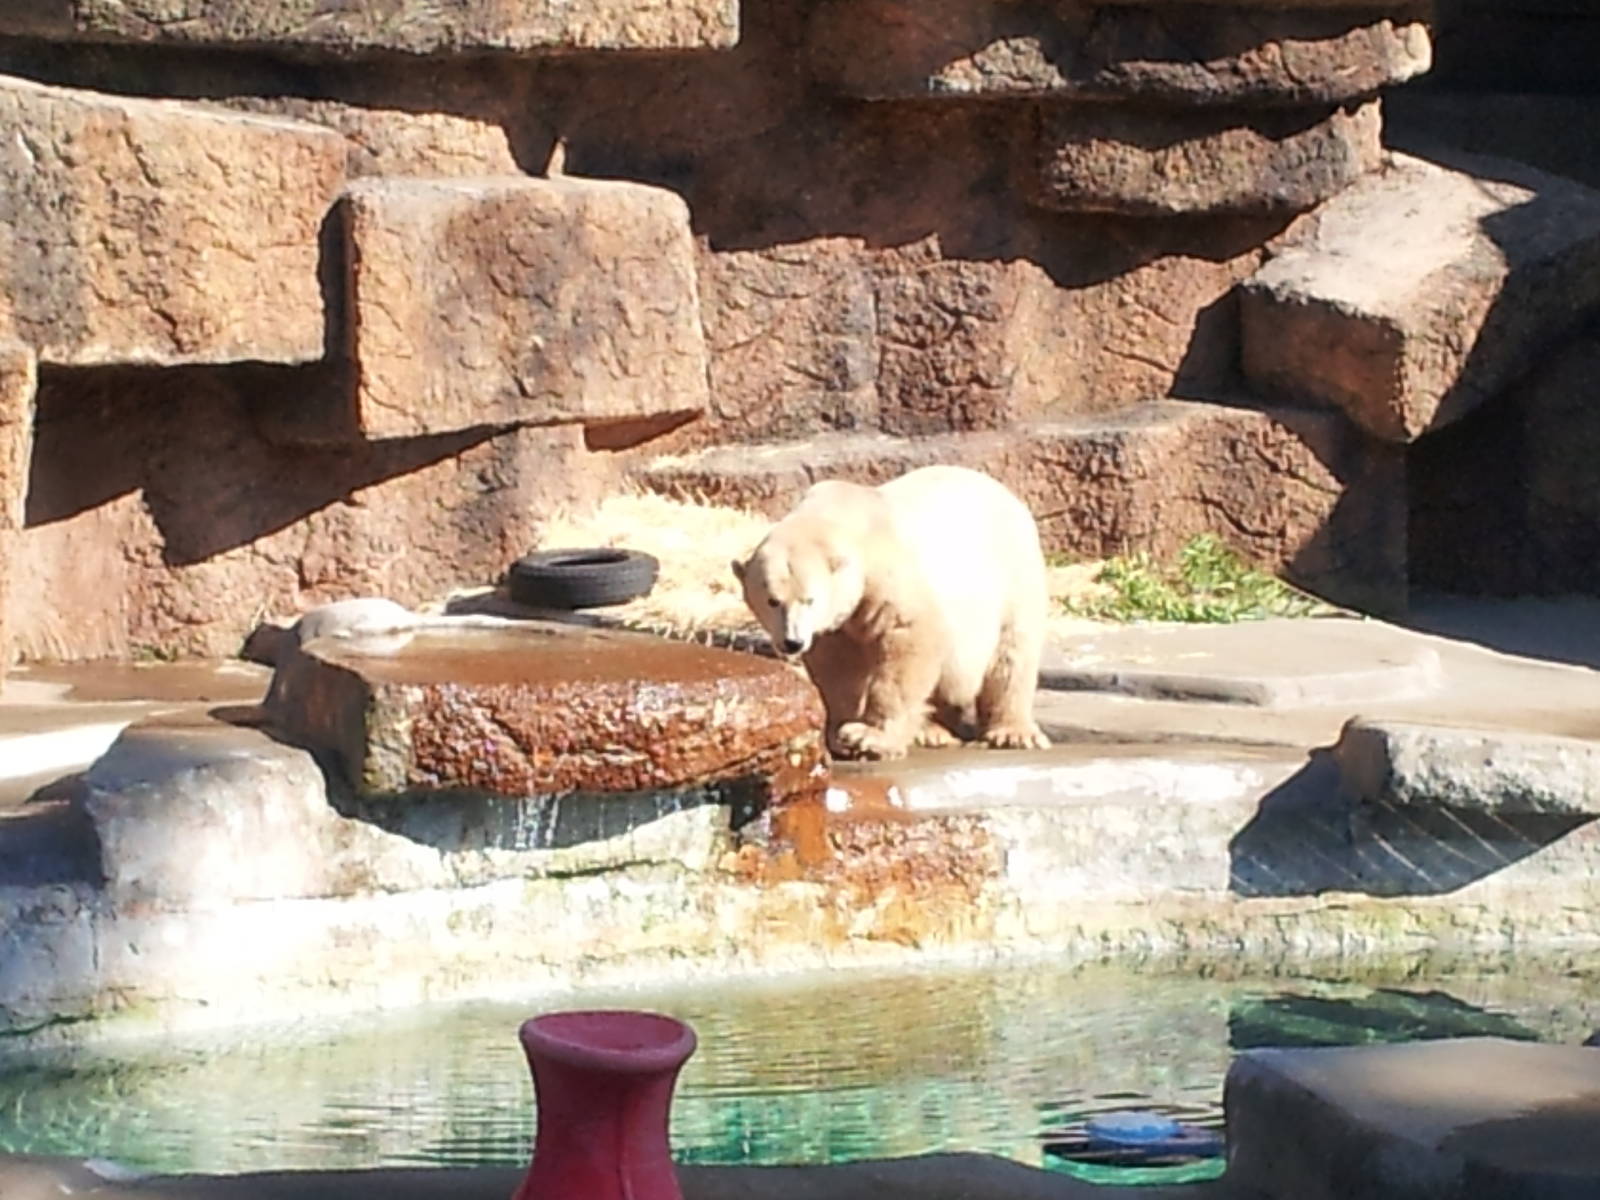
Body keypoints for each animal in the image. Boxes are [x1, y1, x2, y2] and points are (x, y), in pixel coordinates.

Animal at [731, 464, 1051, 761]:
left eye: (810, 600)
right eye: (773, 601)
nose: (792, 642)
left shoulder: (886, 576)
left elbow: (909, 640)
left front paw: (868, 738)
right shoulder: (837, 624)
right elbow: (837, 668)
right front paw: (839, 733)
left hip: (1012, 575)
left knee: (1012, 652)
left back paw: (1013, 733)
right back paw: (932, 731)